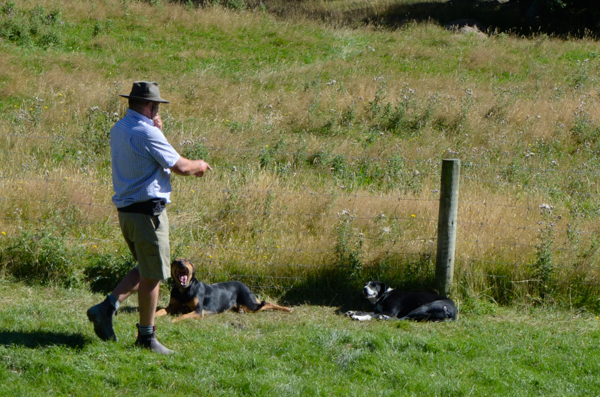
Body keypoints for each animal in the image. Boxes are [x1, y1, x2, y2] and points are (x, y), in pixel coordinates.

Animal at [156, 256, 292, 322]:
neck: (184, 289)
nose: (181, 264)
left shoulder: (198, 312)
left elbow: (183, 316)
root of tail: (244, 285)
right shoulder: (172, 306)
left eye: (186, 260)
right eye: (175, 261)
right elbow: (161, 310)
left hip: (251, 305)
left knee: (267, 303)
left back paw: (287, 309)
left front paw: (174, 321)